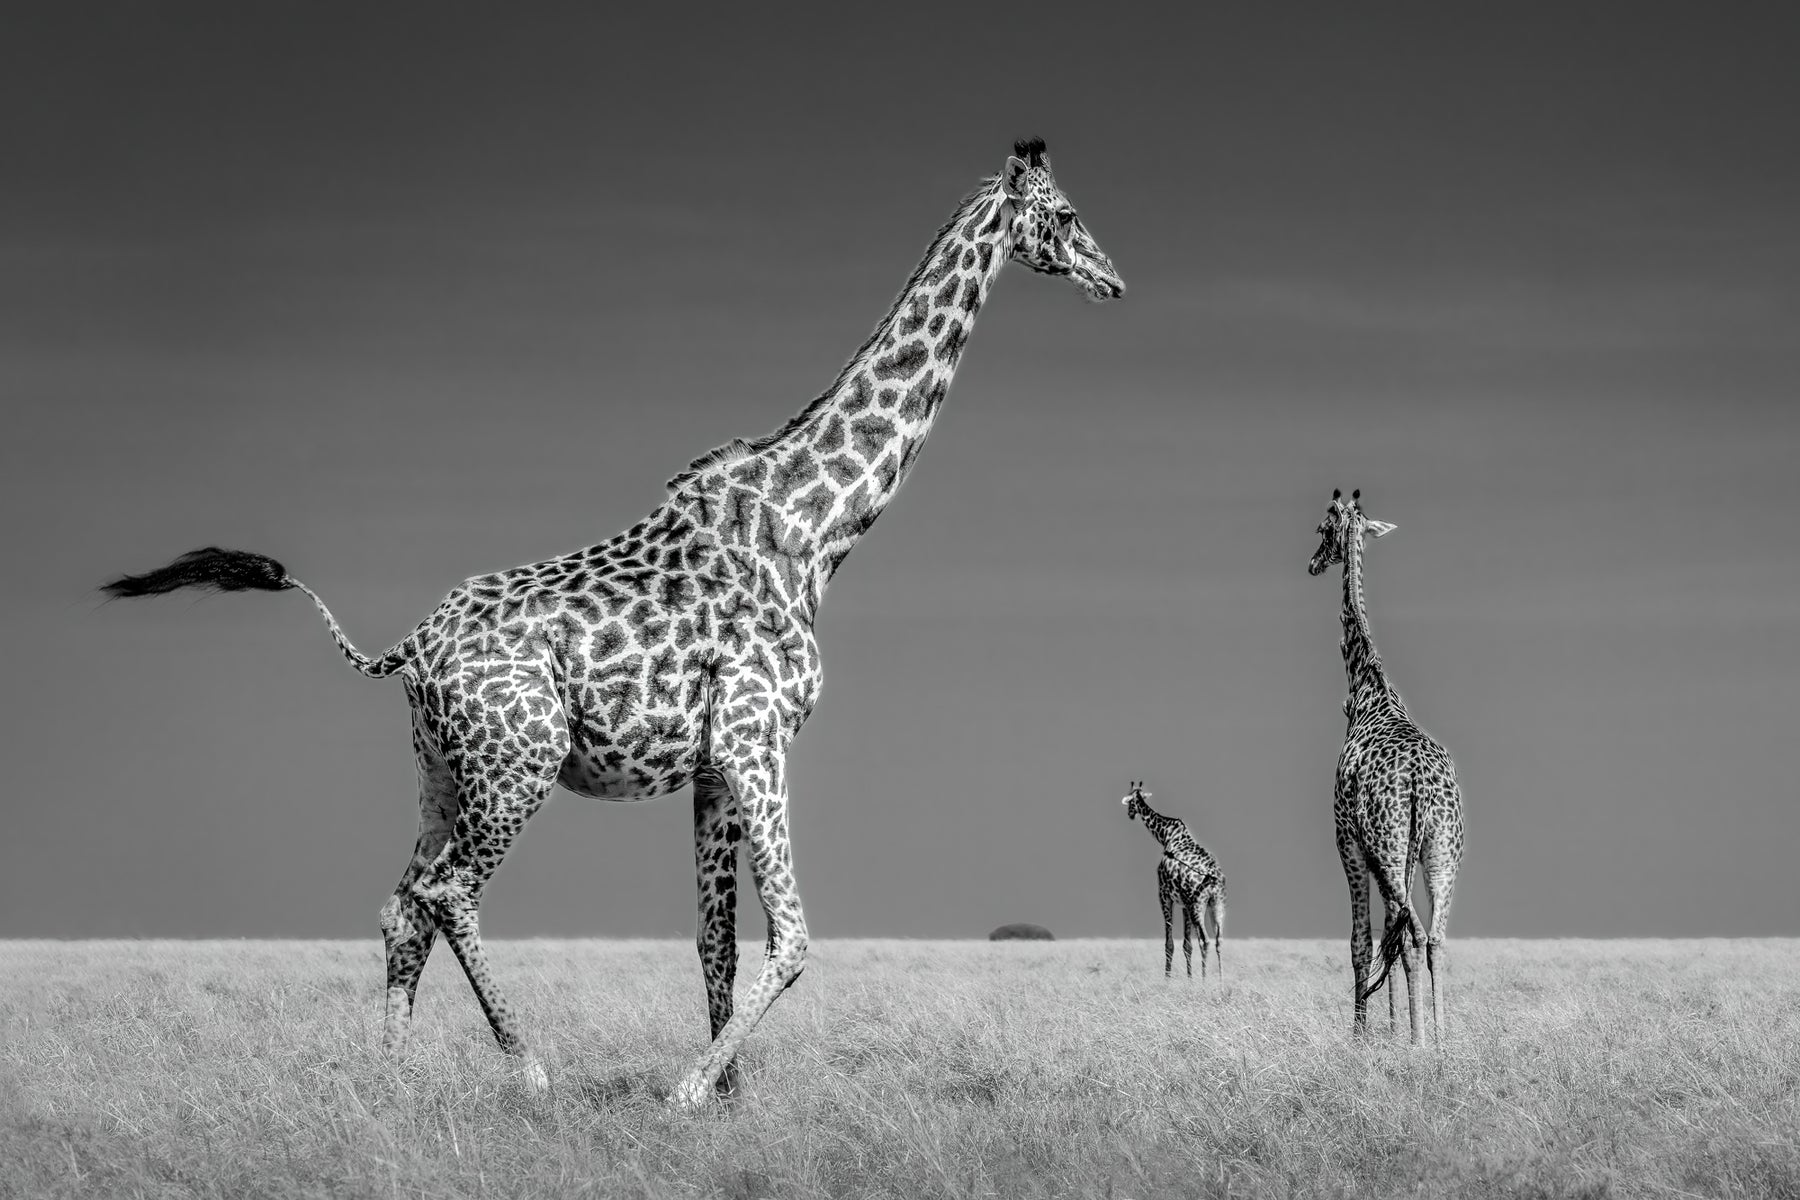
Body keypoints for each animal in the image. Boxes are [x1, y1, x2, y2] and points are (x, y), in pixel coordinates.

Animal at [101, 139, 1123, 1110]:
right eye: (1069, 214)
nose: (1114, 279)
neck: (812, 531)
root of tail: (406, 651)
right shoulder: (755, 736)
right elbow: (791, 940)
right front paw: (688, 1091)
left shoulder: (713, 766)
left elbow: (717, 944)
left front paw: (728, 1097)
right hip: (521, 762)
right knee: (447, 892)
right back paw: (528, 1071)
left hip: (439, 770)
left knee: (402, 906)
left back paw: (390, 1076)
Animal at [1120, 781, 1226, 979]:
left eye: (1130, 802)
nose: (1130, 814)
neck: (1166, 835)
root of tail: (1213, 877)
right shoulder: (1184, 903)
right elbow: (1187, 945)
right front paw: (1189, 980)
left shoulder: (1164, 895)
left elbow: (1169, 944)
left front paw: (1167, 980)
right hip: (1217, 904)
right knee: (1218, 940)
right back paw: (1221, 982)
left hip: (1198, 905)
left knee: (1205, 940)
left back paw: (1204, 980)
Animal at [1308, 488, 1464, 1044]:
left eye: (1321, 530)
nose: (1312, 563)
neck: (1366, 688)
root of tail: (1419, 787)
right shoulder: (1383, 855)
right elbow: (1387, 941)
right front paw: (1392, 1029)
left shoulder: (1348, 841)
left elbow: (1361, 941)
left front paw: (1360, 1036)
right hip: (1441, 850)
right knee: (1434, 939)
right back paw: (1439, 1039)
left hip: (1391, 845)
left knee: (1413, 935)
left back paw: (1420, 1042)